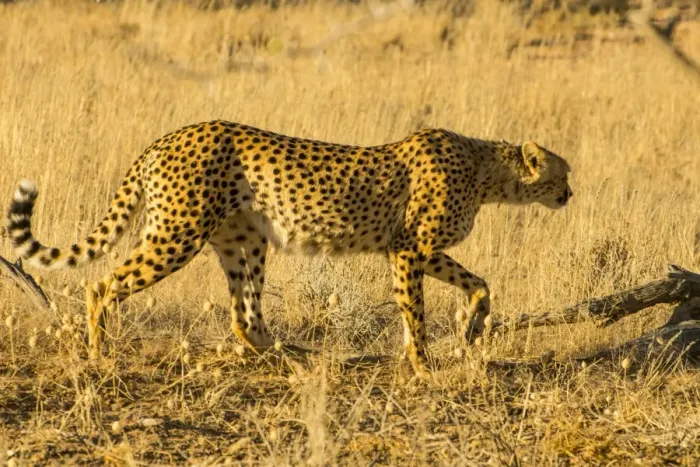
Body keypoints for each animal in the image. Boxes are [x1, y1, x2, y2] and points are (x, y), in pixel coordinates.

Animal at [6, 120, 572, 378]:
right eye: (563, 173)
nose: (570, 194)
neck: (486, 170)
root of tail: (171, 135)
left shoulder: (418, 251)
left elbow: (481, 284)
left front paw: (472, 329)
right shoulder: (410, 249)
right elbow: (416, 311)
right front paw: (423, 361)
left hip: (244, 240)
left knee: (245, 317)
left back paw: (297, 354)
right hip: (177, 235)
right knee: (101, 283)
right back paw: (100, 354)